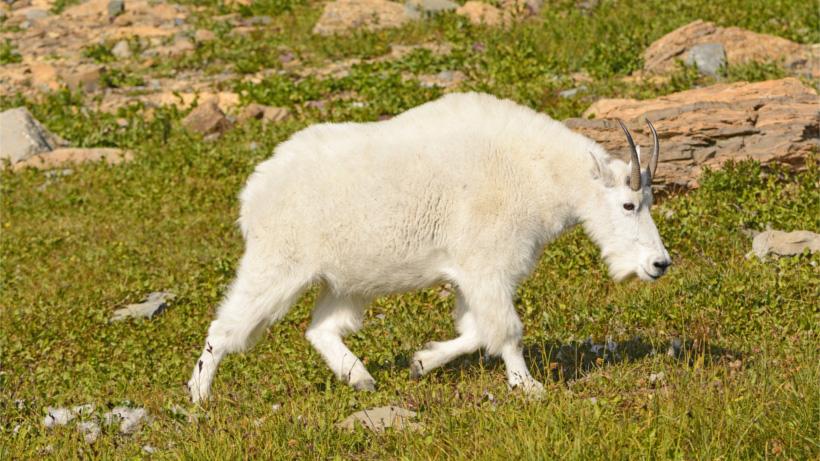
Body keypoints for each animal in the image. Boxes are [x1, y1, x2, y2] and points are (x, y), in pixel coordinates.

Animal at [188, 92, 671, 402]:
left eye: (649, 201)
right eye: (628, 204)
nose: (659, 263)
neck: (540, 175)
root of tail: (256, 189)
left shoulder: (471, 274)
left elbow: (475, 330)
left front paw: (421, 362)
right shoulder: (488, 264)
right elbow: (506, 330)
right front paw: (528, 386)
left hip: (348, 281)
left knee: (320, 328)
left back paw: (360, 379)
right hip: (278, 264)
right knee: (224, 328)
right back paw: (198, 397)